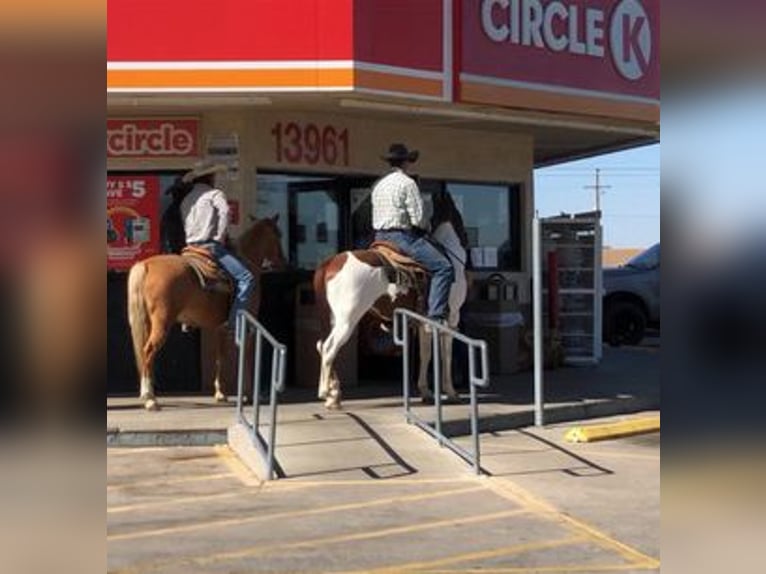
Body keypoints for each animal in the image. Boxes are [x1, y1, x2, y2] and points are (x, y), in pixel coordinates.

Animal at [127, 215, 286, 410]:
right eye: (278, 235)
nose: (283, 261)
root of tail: (146, 264)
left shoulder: (221, 328)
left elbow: (220, 357)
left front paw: (220, 393)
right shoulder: (249, 326)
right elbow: (247, 357)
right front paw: (249, 395)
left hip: (147, 322)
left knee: (145, 353)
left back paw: (147, 393)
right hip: (162, 322)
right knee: (149, 350)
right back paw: (150, 398)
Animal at [314, 191, 472, 412]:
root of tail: (329, 263)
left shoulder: (424, 322)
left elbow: (425, 354)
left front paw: (425, 392)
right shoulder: (451, 319)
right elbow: (445, 354)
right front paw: (451, 392)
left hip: (334, 319)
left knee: (322, 346)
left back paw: (334, 395)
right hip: (347, 320)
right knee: (329, 349)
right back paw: (326, 394)